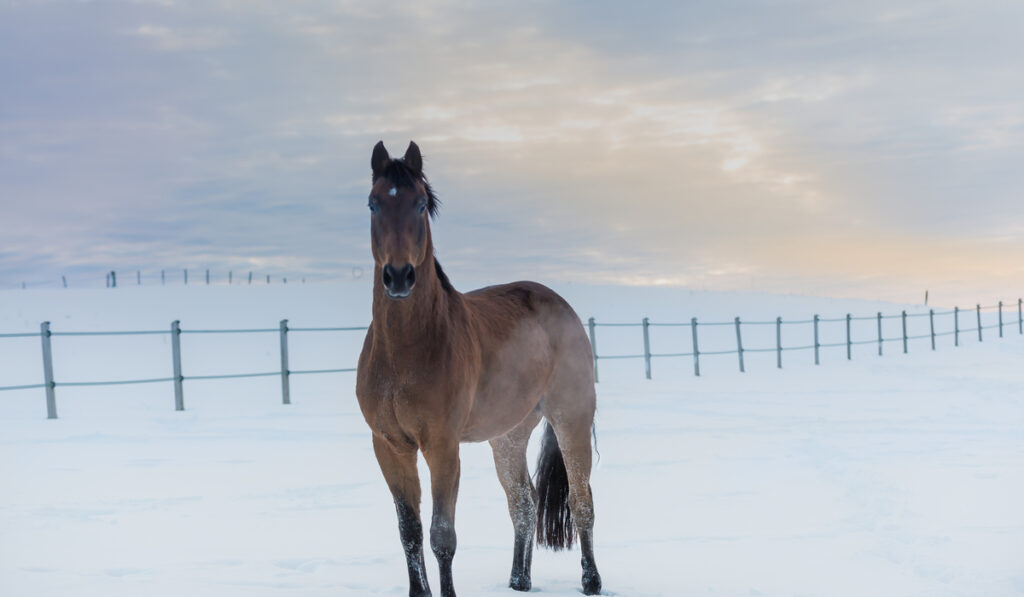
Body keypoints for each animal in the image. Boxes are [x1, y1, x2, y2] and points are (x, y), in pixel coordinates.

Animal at [356, 141, 602, 597]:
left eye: (420, 204)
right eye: (373, 204)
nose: (398, 277)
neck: (404, 351)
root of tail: (561, 306)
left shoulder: (442, 446)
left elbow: (442, 535)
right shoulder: (390, 446)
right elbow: (409, 531)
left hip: (571, 419)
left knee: (581, 502)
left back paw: (591, 581)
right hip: (507, 437)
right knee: (523, 502)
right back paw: (519, 580)